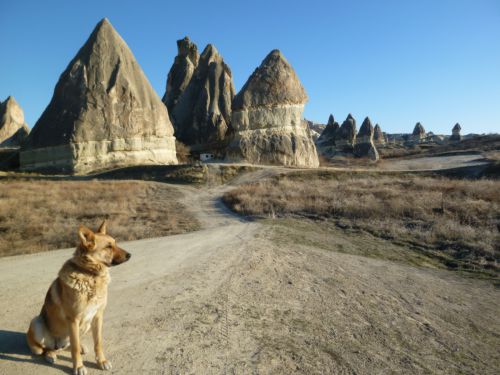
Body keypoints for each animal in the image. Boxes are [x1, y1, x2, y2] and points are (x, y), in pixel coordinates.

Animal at [26, 222, 130, 374]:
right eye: (108, 246)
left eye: (115, 243)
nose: (130, 255)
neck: (90, 274)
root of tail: (58, 344)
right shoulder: (73, 320)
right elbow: (74, 349)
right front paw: (79, 367)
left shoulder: (97, 317)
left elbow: (98, 343)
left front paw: (101, 361)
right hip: (37, 323)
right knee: (47, 349)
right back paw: (50, 355)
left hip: (85, 325)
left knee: (67, 346)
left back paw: (79, 347)